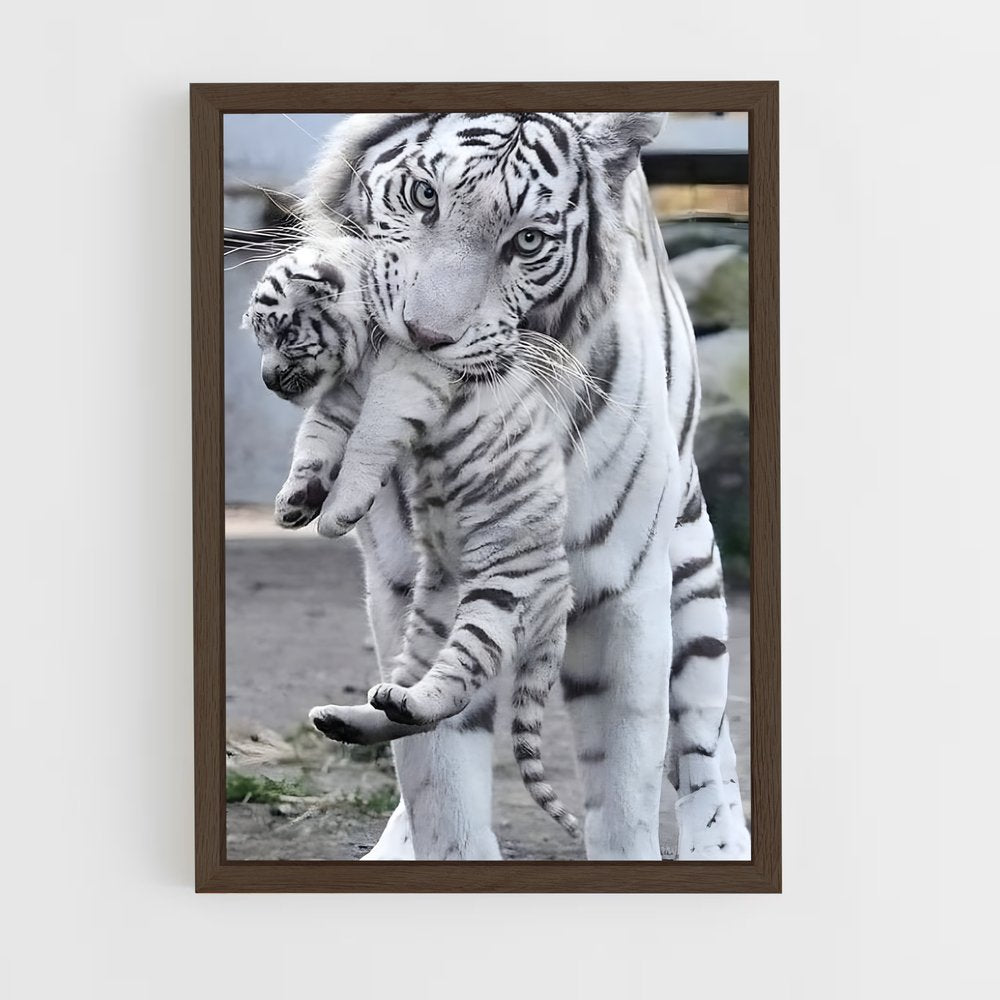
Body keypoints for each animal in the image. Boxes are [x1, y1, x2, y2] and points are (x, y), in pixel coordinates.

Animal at [244, 241, 579, 836]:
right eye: (260, 338)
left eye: (284, 334)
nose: (266, 380)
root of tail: (562, 603)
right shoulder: (341, 397)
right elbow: (315, 439)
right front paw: (294, 502)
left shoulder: (405, 381)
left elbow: (365, 443)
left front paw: (335, 514)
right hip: (432, 612)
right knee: (408, 698)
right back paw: (350, 717)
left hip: (500, 597)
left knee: (455, 684)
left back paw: (409, 703)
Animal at [278, 111, 750, 861]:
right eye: (423, 197)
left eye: (527, 241)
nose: (425, 334)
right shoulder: (401, 583)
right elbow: (441, 786)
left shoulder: (623, 594)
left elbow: (626, 790)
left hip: (692, 577)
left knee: (705, 737)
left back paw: (721, 840)